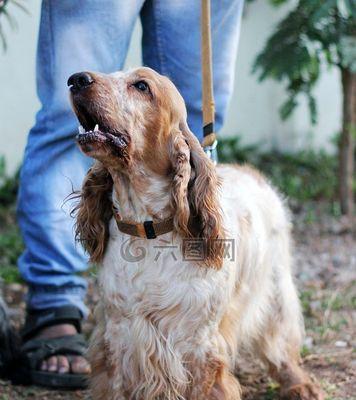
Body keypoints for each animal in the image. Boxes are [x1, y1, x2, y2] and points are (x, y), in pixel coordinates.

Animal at [68, 67, 324, 398]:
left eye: (142, 86)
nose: (76, 79)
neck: (149, 231)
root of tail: (251, 173)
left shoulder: (199, 347)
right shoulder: (117, 340)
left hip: (275, 288)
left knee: (280, 341)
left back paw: (301, 384)